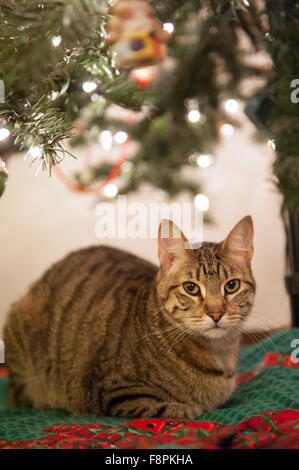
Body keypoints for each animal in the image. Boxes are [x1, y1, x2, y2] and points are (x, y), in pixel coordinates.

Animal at [4, 217, 255, 418]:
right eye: (191, 288)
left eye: (231, 286)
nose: (216, 313)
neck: (219, 353)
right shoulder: (112, 389)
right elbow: (167, 407)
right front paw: (188, 409)